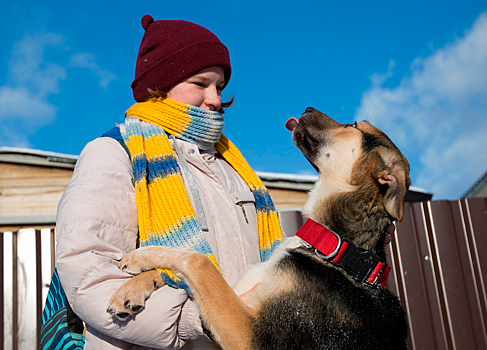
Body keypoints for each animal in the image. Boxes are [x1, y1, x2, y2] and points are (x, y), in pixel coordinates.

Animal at [107, 108, 412, 348]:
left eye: (353, 126)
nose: (307, 106)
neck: (334, 245)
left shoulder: (252, 336)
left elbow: (197, 262)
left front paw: (141, 257)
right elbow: (194, 269)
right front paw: (132, 285)